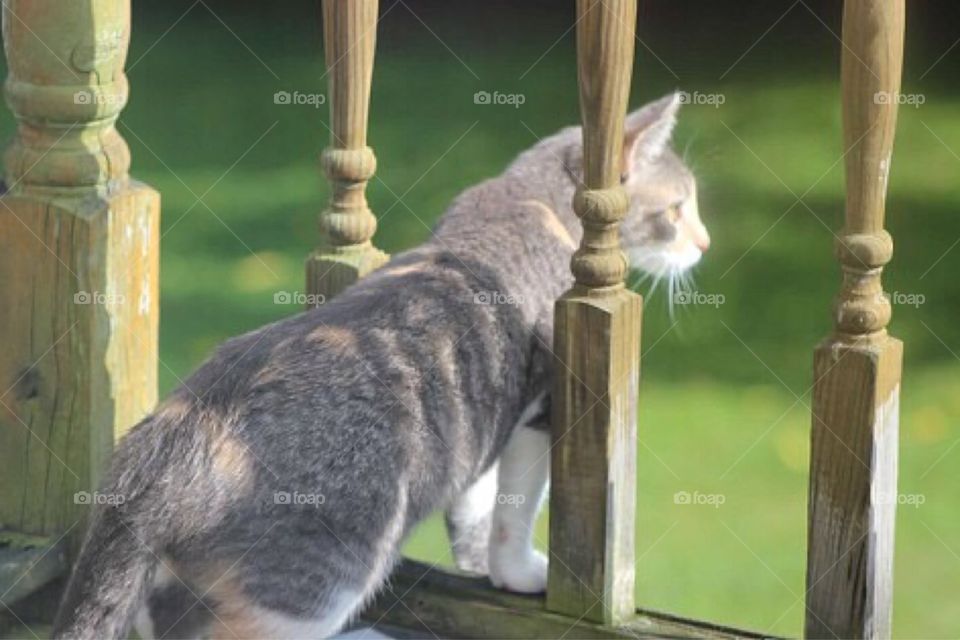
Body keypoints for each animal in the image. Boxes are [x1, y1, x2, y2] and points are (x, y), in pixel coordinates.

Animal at [52, 91, 708, 640]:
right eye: (678, 209)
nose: (703, 244)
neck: (528, 196)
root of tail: (167, 445)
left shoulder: (478, 424)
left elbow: (475, 499)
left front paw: (477, 563)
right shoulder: (540, 408)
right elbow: (515, 509)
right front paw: (518, 570)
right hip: (317, 579)